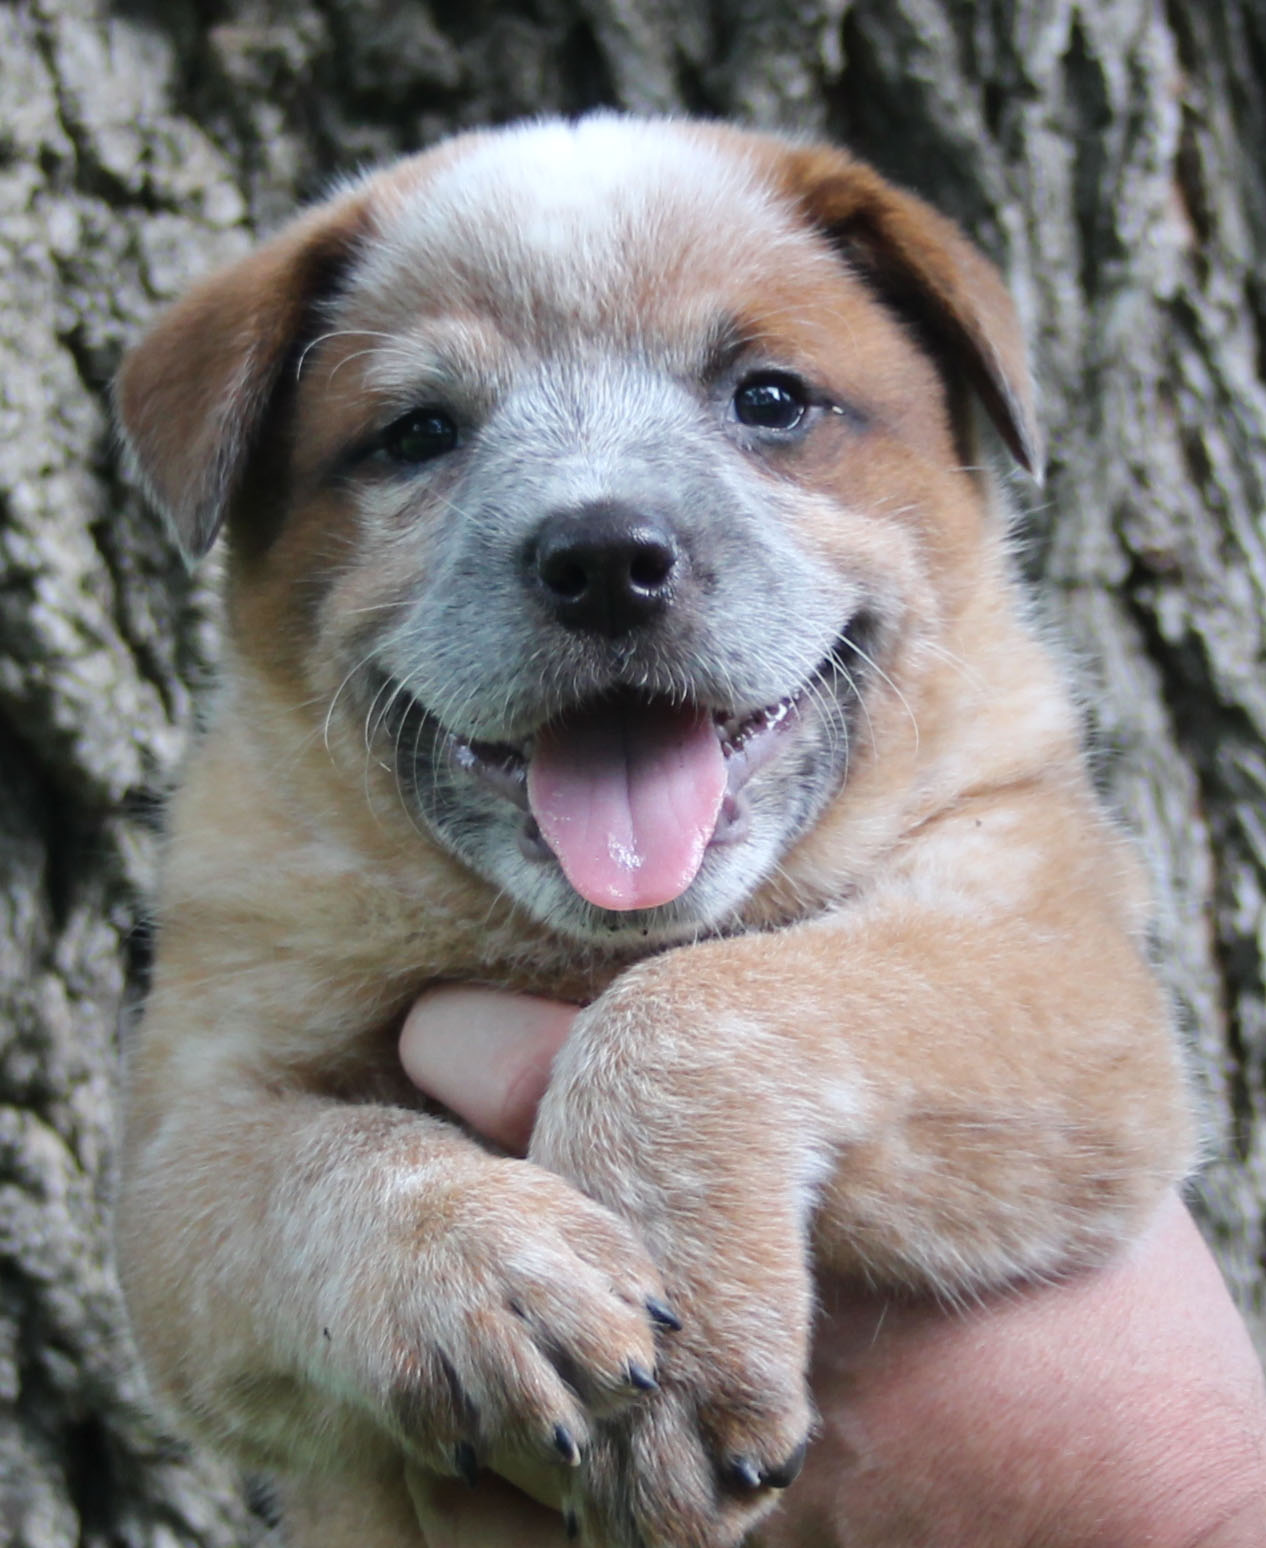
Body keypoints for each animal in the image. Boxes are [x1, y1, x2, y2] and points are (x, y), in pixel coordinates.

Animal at [113, 116, 1194, 1548]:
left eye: (771, 399)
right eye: (418, 433)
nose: (605, 558)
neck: (581, 945)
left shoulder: (1061, 973)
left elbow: (712, 996)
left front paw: (676, 1354)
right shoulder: (185, 1148)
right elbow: (324, 1165)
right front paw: (488, 1270)